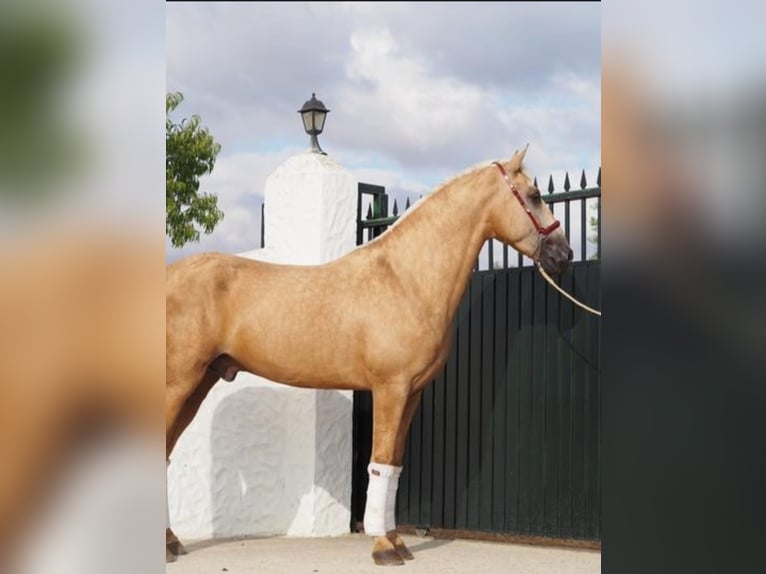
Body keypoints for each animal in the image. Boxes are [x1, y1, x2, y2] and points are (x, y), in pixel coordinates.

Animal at [168, 145, 576, 568]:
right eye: (533, 195)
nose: (564, 254)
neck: (405, 279)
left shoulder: (412, 394)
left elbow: (393, 466)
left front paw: (397, 541)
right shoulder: (390, 389)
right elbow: (378, 463)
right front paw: (382, 547)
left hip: (199, 383)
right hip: (179, 381)